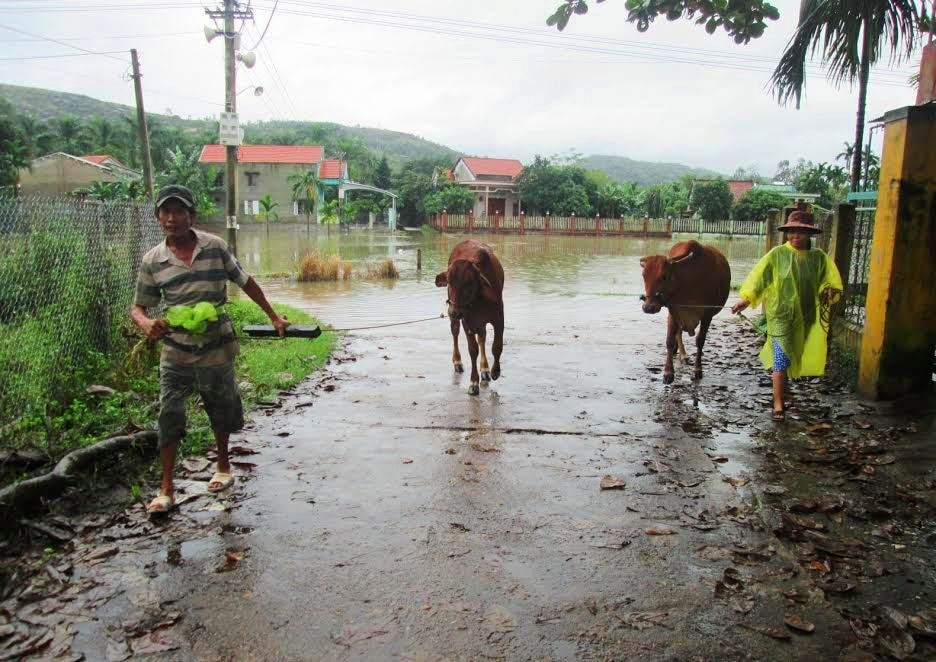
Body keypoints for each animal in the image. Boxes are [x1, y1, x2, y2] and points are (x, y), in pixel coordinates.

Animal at [436, 240, 504, 394]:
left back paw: (485, 369)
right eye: (449, 282)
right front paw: (473, 383)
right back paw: (457, 362)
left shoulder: (499, 319)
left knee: (482, 338)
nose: (454, 312)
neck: (479, 298)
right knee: (455, 332)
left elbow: (497, 347)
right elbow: (473, 350)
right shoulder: (467, 322)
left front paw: (495, 371)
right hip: (457, 319)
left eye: (469, 283)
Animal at [644, 240, 732, 384]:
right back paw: (682, 353)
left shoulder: (707, 315)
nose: (648, 307)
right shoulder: (673, 311)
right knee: (678, 333)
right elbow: (669, 340)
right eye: (644, 276)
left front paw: (698, 370)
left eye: (664, 276)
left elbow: (700, 341)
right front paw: (668, 372)